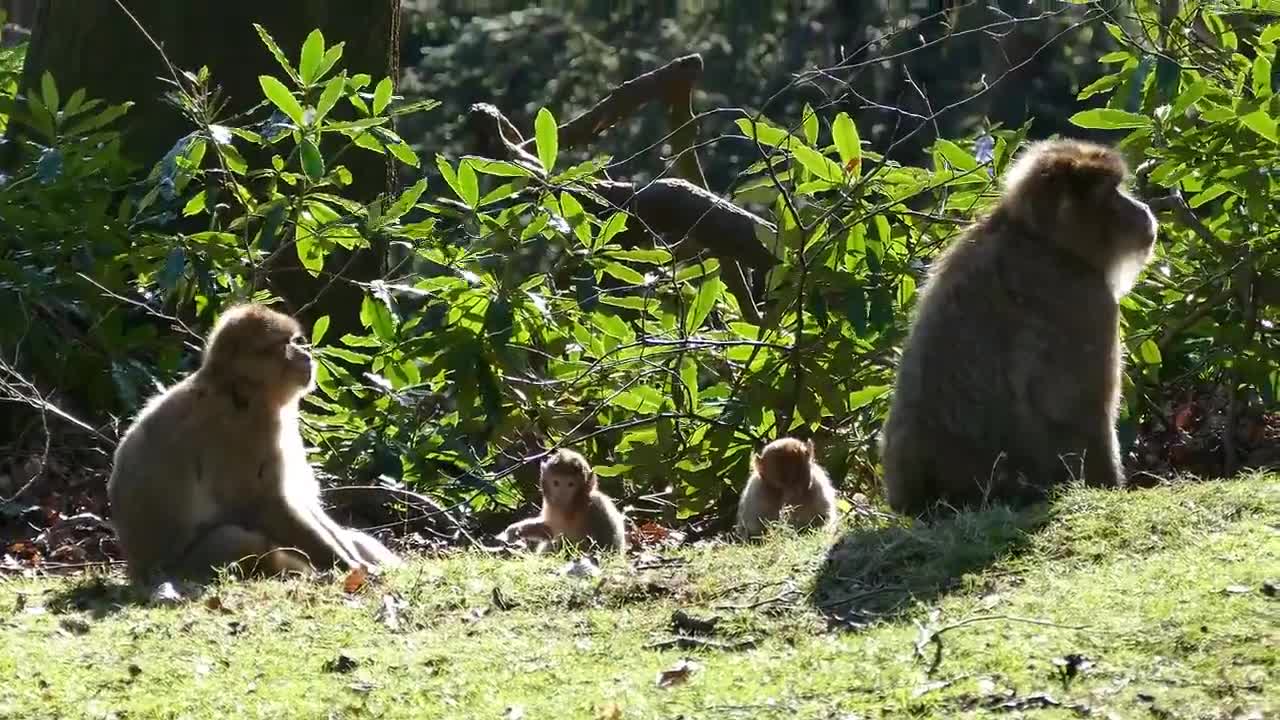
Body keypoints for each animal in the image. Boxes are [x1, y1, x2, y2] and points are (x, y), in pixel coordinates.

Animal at [496, 445, 627, 550]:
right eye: (556, 483)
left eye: (570, 484)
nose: (561, 495)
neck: (572, 507)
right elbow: (549, 529)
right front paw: (514, 530)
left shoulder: (597, 505)